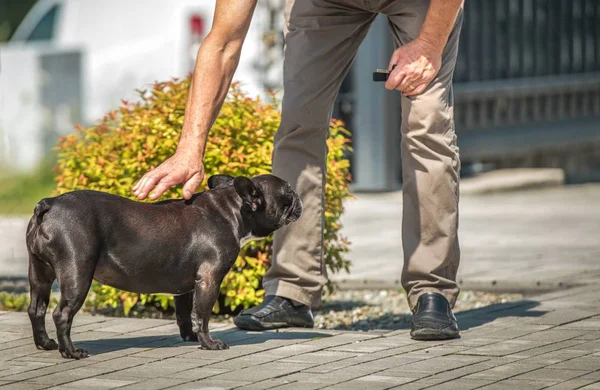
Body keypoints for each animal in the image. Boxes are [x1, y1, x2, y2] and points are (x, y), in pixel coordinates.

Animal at [25, 174, 302, 360]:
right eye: (288, 194)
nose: (299, 198)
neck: (233, 208)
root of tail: (49, 204)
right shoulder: (210, 279)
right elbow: (203, 314)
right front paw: (209, 343)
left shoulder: (189, 285)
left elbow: (186, 313)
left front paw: (191, 337)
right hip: (77, 273)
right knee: (62, 314)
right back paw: (71, 352)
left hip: (39, 273)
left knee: (36, 309)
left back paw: (45, 343)